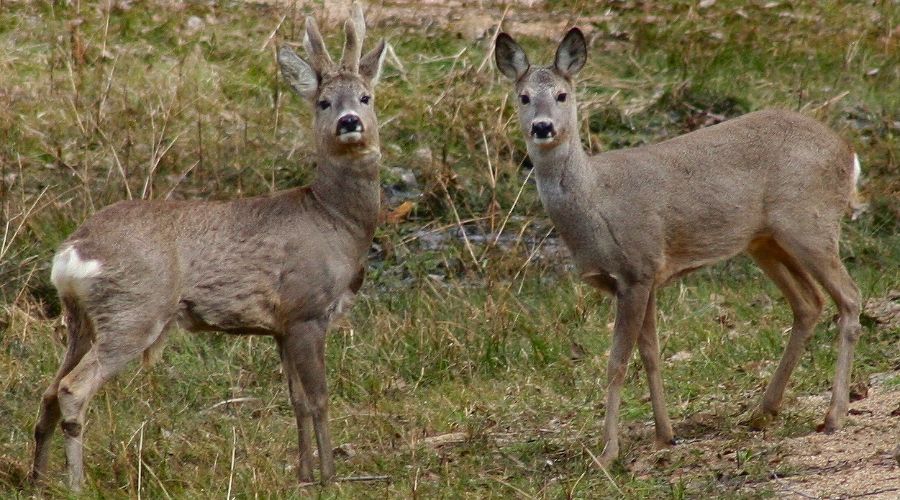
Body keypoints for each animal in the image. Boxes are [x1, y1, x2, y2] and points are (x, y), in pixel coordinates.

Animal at [28, 2, 384, 488]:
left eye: (366, 97)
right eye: (324, 102)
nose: (349, 122)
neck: (334, 220)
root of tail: (72, 252)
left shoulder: (281, 325)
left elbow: (295, 400)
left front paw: (304, 473)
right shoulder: (307, 309)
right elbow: (319, 398)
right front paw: (329, 477)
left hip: (81, 320)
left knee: (48, 389)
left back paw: (37, 481)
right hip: (132, 310)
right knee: (71, 389)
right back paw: (76, 484)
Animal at [496, 26, 860, 464]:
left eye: (563, 95)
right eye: (523, 97)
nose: (543, 127)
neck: (595, 203)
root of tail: (848, 152)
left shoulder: (636, 268)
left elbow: (617, 362)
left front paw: (609, 451)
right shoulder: (646, 276)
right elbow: (650, 353)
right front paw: (664, 435)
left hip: (811, 223)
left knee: (849, 298)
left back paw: (834, 415)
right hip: (766, 241)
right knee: (809, 303)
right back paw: (763, 411)